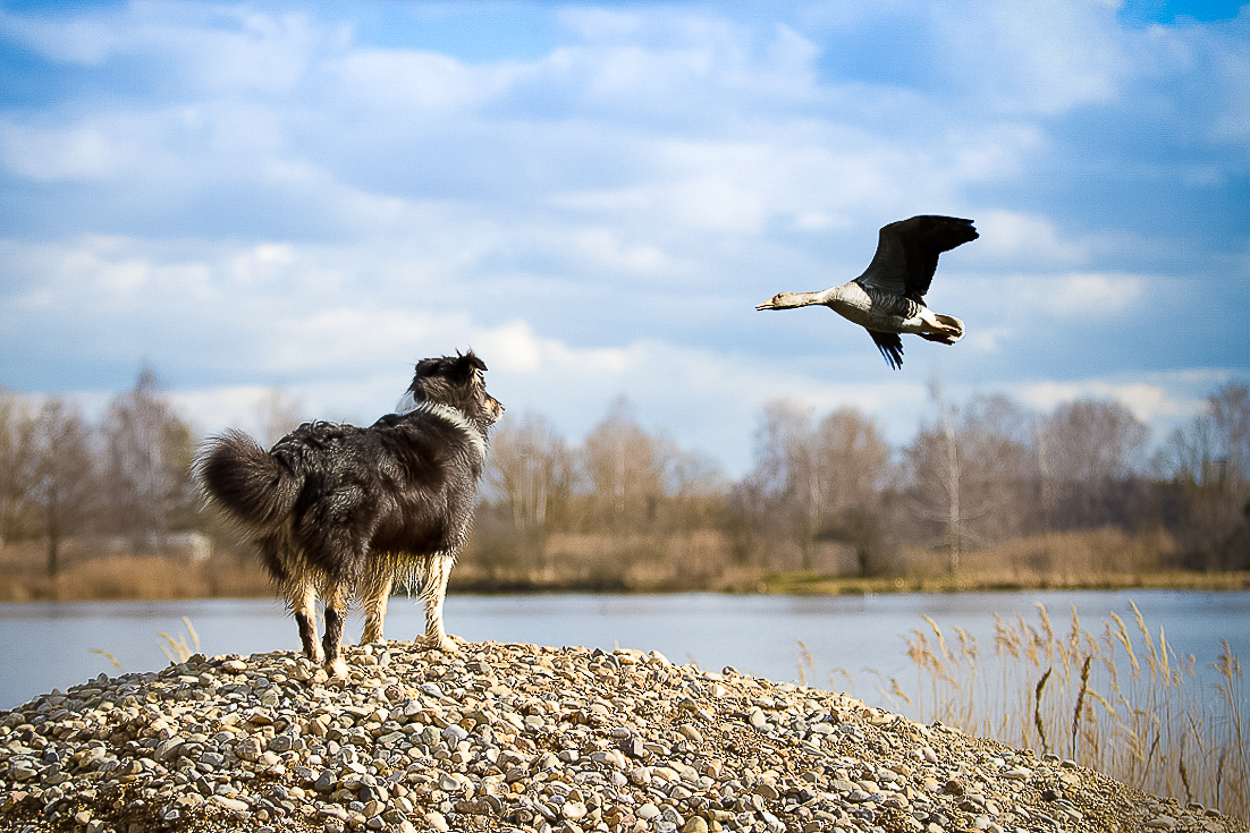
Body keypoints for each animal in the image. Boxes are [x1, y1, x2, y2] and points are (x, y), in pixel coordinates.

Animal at [195, 350, 502, 675]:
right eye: (484, 386)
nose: (501, 406)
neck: (443, 406)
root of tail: (300, 457)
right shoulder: (445, 539)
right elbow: (436, 599)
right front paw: (441, 642)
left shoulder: (384, 544)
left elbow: (379, 597)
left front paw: (373, 640)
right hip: (346, 550)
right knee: (333, 612)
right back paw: (335, 665)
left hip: (292, 552)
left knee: (304, 611)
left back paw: (314, 657)